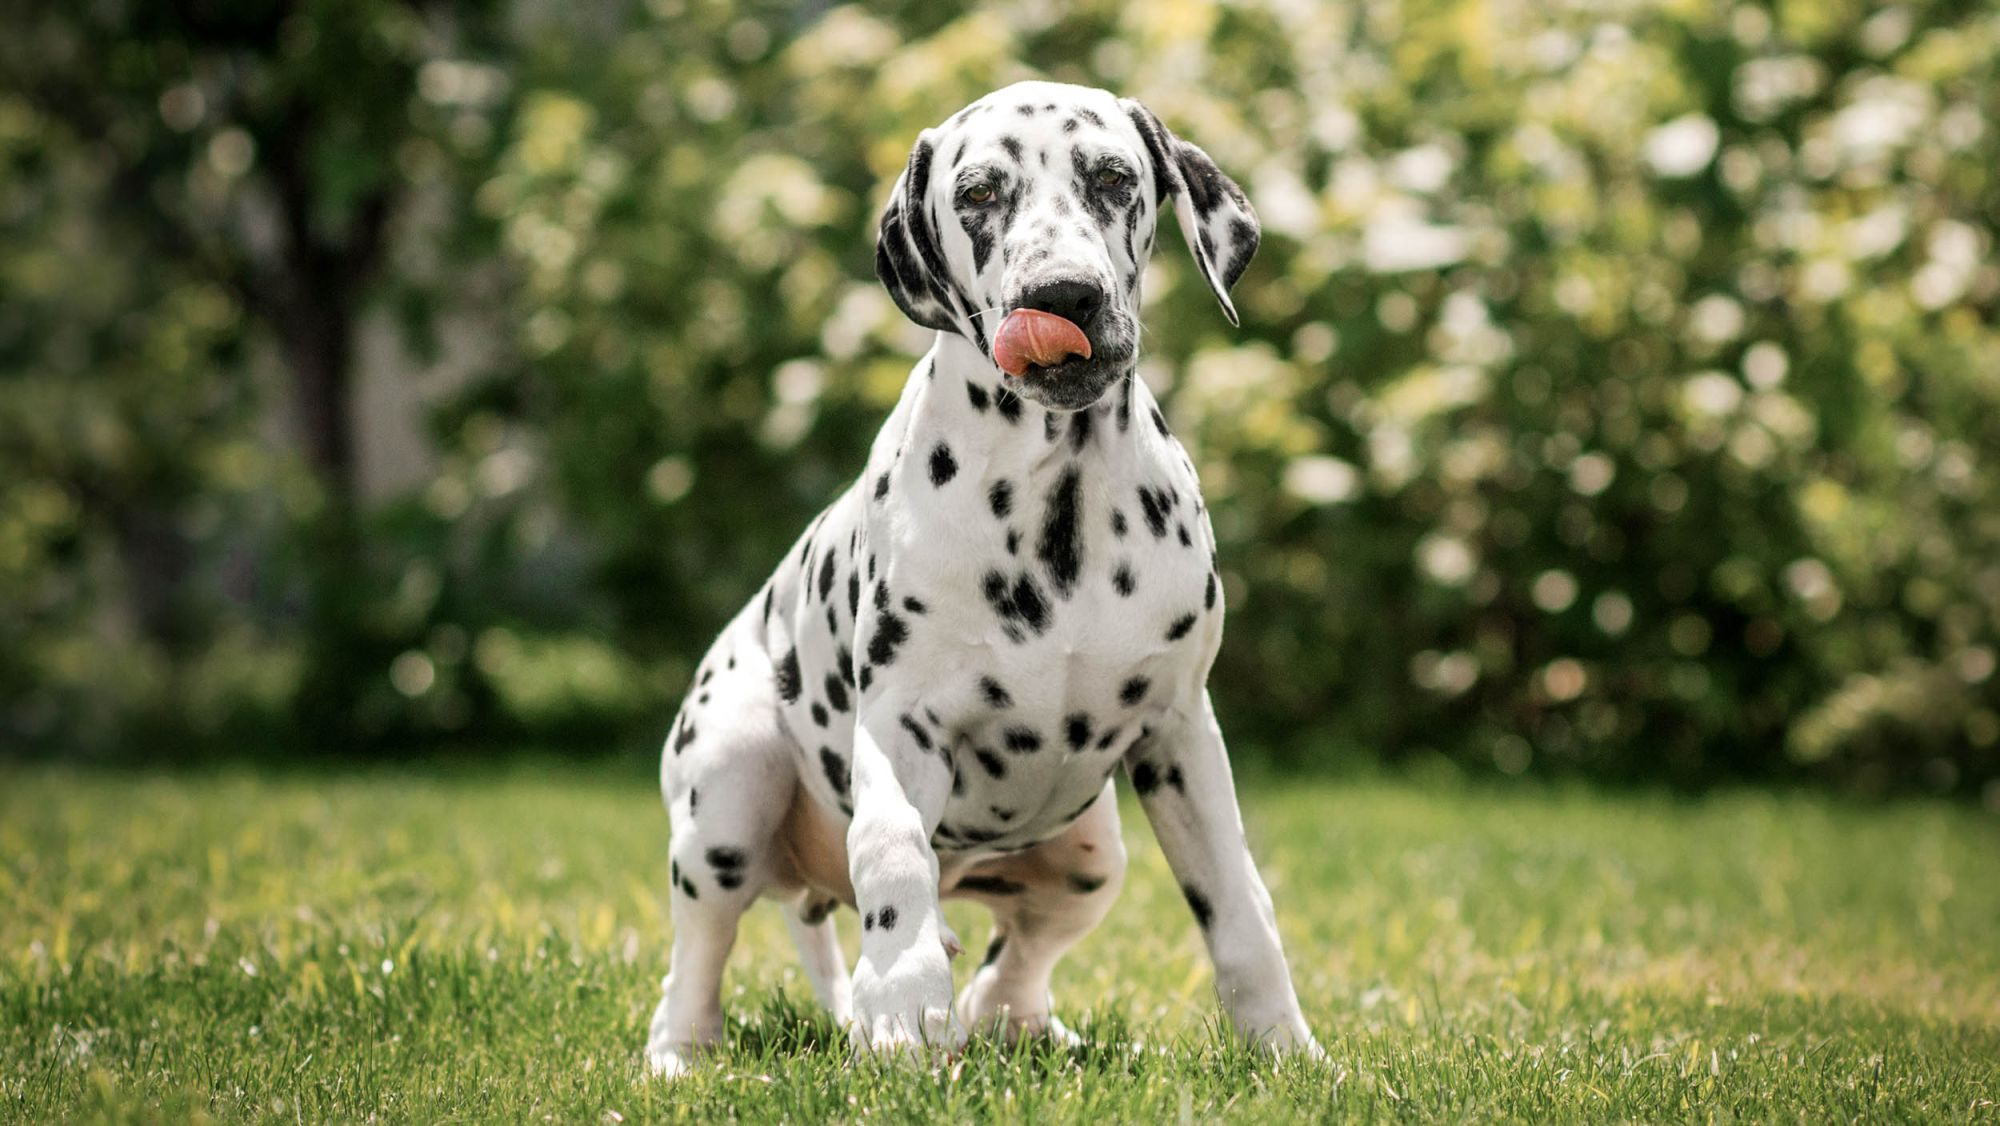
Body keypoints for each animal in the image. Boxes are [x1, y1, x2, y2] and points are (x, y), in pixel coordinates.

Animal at [648, 79, 1320, 1072]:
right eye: (977, 195)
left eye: (1114, 179)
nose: (1063, 294)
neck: (1058, 499)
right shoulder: (901, 725)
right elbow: (893, 857)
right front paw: (902, 1012)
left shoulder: (1181, 734)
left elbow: (1239, 906)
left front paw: (1285, 1047)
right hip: (729, 790)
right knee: (699, 951)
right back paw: (684, 1055)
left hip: (1092, 859)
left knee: (1015, 965)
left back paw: (1017, 1022)